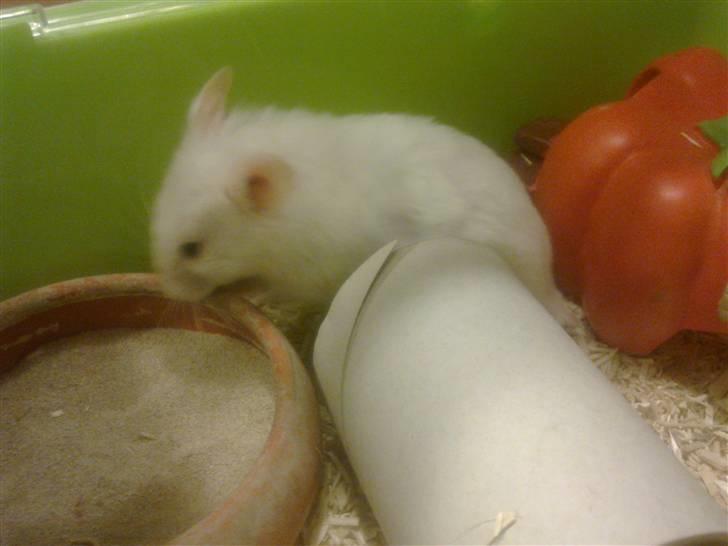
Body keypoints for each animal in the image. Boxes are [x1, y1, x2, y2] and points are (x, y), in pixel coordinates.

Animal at [151, 67, 574, 326]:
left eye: (192, 249)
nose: (166, 293)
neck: (274, 234)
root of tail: (549, 280)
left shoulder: (300, 280)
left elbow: (269, 290)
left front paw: (254, 298)